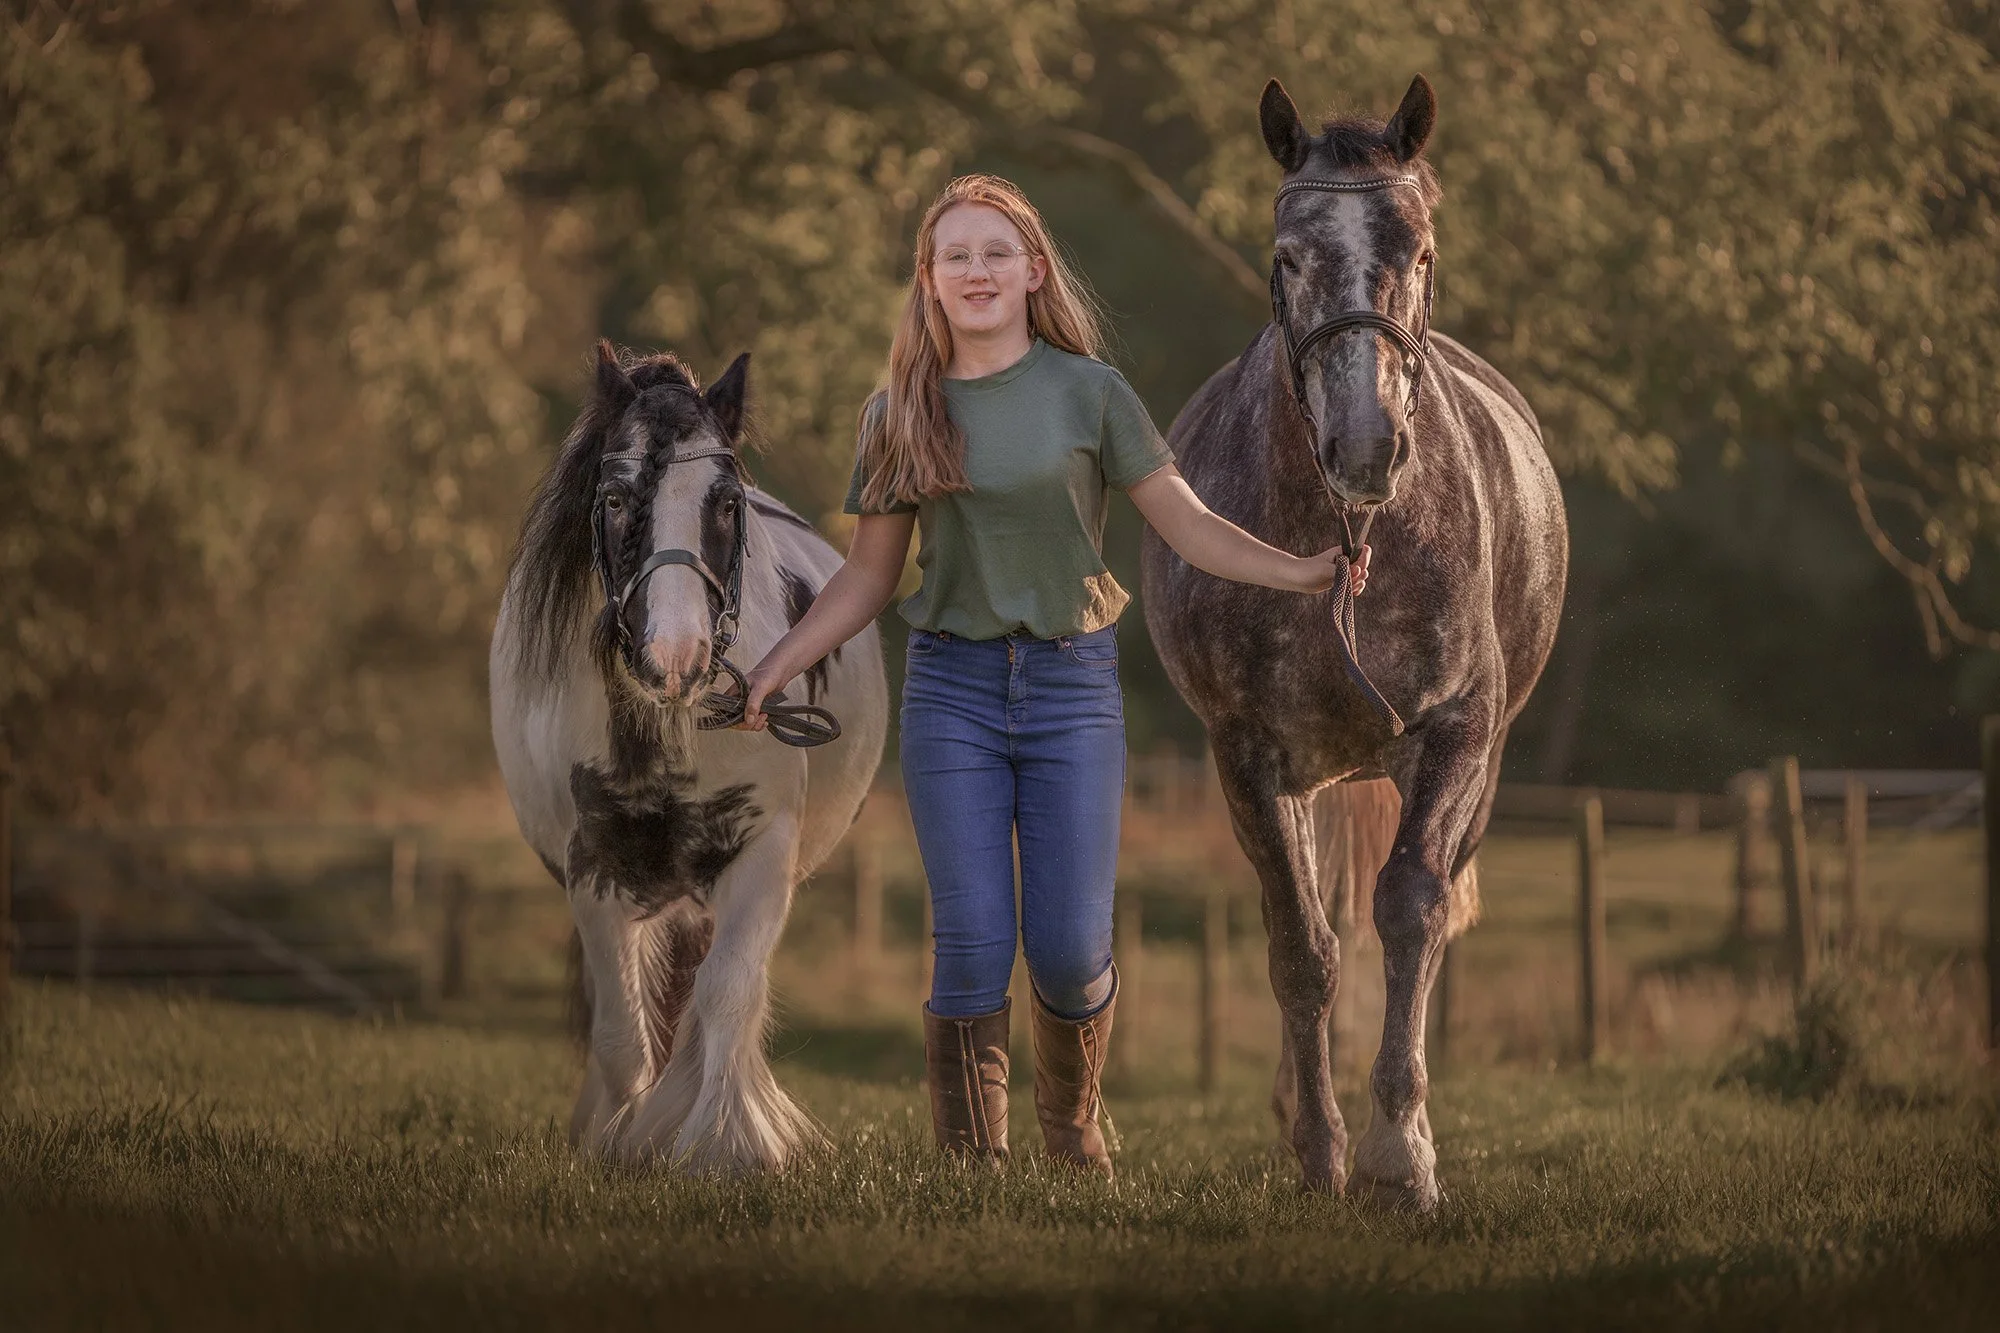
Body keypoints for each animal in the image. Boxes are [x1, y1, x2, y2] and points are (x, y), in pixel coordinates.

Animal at [490, 341, 888, 1171]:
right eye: (612, 498)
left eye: (726, 502)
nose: (676, 656)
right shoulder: (594, 865)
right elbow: (621, 1032)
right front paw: (618, 1142)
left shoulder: (759, 852)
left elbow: (726, 995)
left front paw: (723, 1147)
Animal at [1141, 75, 1568, 1209]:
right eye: (1287, 255)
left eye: (1419, 250)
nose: (1366, 446)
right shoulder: (1248, 755)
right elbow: (1301, 948)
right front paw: (1324, 1149)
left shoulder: (1454, 733)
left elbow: (1411, 910)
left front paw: (1400, 1156)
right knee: (1316, 920)